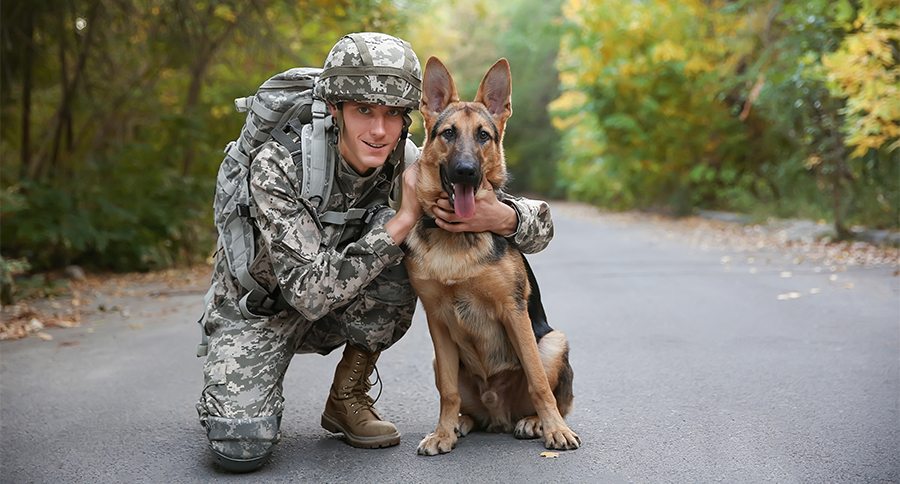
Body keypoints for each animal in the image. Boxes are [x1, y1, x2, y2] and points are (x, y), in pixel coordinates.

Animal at [404, 58, 580, 456]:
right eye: (448, 133)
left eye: (484, 135)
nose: (466, 172)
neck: (456, 237)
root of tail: (498, 415)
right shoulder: (437, 321)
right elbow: (448, 392)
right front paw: (442, 433)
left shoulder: (513, 313)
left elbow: (538, 382)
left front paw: (555, 430)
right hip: (443, 360)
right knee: (465, 405)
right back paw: (459, 424)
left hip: (553, 342)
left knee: (548, 393)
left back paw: (536, 422)